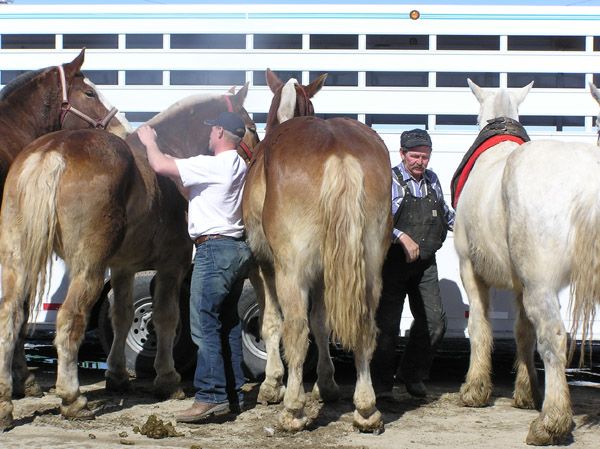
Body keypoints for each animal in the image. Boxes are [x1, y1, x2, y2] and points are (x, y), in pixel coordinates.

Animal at [0, 85, 256, 428]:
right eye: (252, 127)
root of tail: (53, 152)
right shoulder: (171, 266)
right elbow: (165, 317)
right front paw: (167, 379)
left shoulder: (123, 267)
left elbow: (120, 316)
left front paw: (118, 375)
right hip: (88, 269)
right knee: (69, 320)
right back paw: (72, 399)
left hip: (20, 260)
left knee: (10, 316)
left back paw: (6, 402)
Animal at [241, 69, 392, 430]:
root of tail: (339, 152)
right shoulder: (325, 275)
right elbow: (323, 323)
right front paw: (327, 384)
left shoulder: (262, 266)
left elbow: (272, 322)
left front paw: (272, 384)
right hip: (368, 268)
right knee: (364, 325)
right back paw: (366, 409)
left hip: (291, 271)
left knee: (296, 327)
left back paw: (293, 411)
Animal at [454, 78, 600, 444]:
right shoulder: (521, 282)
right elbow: (522, 331)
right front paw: (526, 390)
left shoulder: (469, 268)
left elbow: (480, 326)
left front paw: (475, 388)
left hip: (541, 284)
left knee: (553, 336)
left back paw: (551, 422)